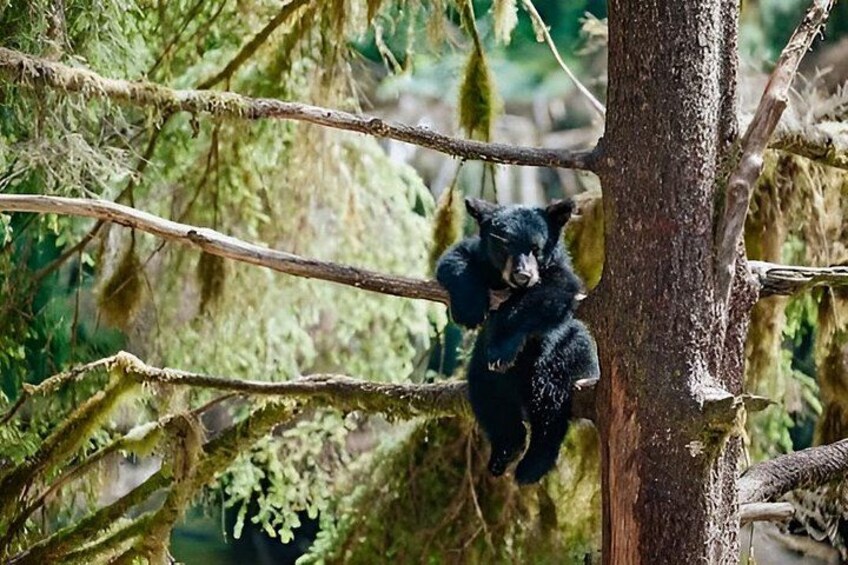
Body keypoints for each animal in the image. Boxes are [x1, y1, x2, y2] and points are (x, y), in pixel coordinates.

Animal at [436, 197, 599, 485]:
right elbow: (455, 258)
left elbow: (550, 293)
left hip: (571, 355)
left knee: (549, 397)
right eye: (505, 246)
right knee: (488, 393)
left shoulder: (559, 275)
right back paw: (505, 449)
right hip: (483, 372)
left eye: (536, 248)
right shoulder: (481, 258)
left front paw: (503, 347)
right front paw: (470, 308)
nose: (522, 275)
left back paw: (532, 464)